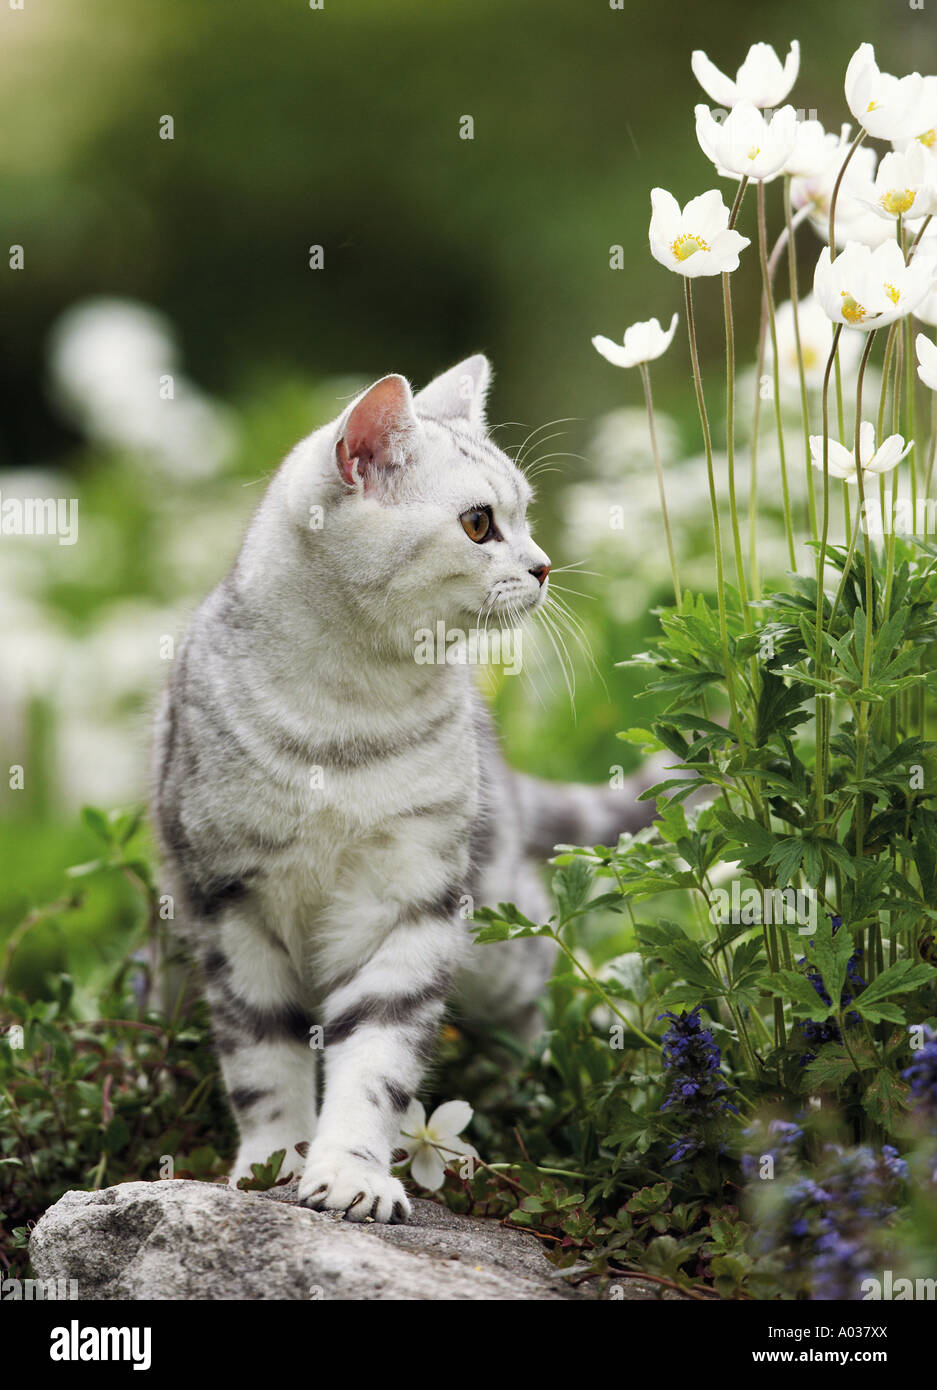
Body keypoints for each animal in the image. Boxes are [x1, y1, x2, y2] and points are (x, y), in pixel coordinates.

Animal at [152, 353, 650, 1223]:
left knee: (539, 996)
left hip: (498, 939)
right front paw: (272, 1162)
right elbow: (263, 1056)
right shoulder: (230, 904)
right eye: (480, 524)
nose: (542, 565)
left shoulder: (410, 903)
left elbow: (375, 1060)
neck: (347, 717)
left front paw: (350, 1171)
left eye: (524, 515)